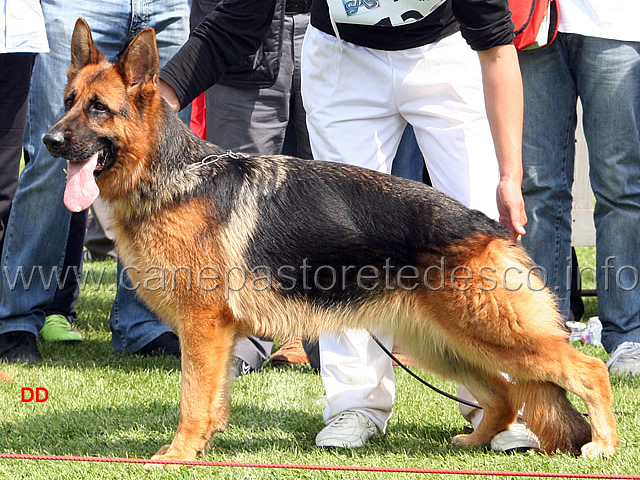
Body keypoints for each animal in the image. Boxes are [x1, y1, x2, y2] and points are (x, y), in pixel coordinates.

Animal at [42, 17, 616, 462]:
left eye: (98, 109)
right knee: (503, 395)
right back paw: (475, 442)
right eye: (68, 101)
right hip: (444, 343)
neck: (168, 176)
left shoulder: (203, 328)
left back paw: (603, 446)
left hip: (493, 334)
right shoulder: (217, 336)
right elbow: (212, 399)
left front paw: (180, 453)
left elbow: (192, 397)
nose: (49, 140)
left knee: (587, 369)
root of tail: (489, 224)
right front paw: (200, 447)